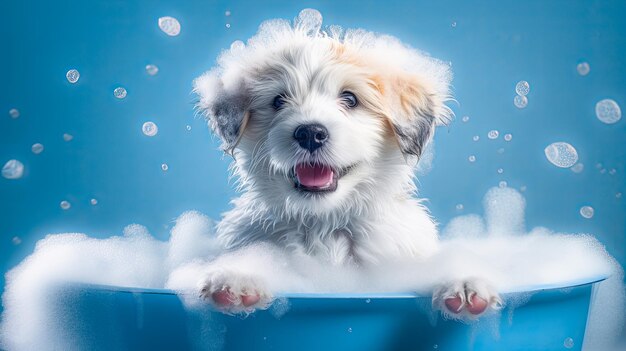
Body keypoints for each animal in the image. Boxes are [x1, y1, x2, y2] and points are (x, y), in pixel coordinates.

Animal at [193, 9, 500, 320]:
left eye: (350, 99)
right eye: (279, 101)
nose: (310, 133)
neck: (325, 225)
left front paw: (461, 279)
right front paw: (239, 274)